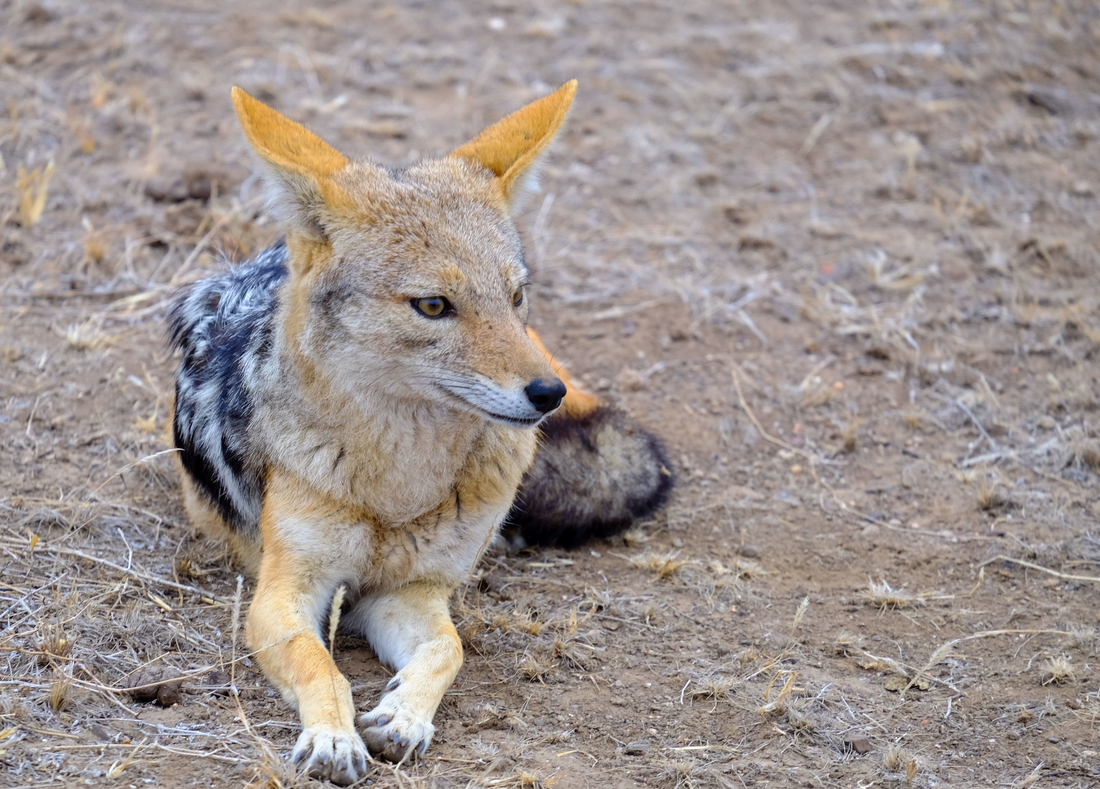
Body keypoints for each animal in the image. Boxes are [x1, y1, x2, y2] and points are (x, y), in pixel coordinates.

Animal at [168, 82, 671, 783]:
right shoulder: (284, 593)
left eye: (514, 296)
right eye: (433, 306)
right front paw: (333, 737)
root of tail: (262, 260)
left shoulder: (410, 592)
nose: (547, 396)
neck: (397, 485)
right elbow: (322, 667)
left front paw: (404, 718)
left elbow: (447, 650)